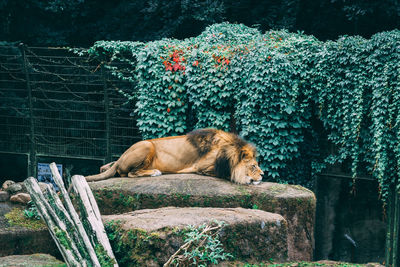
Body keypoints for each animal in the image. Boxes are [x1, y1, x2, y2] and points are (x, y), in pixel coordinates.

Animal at [86, 129, 264, 185]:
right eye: (253, 166)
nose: (263, 174)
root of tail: (120, 158)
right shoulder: (203, 167)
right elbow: (228, 173)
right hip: (147, 145)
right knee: (129, 173)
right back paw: (154, 172)